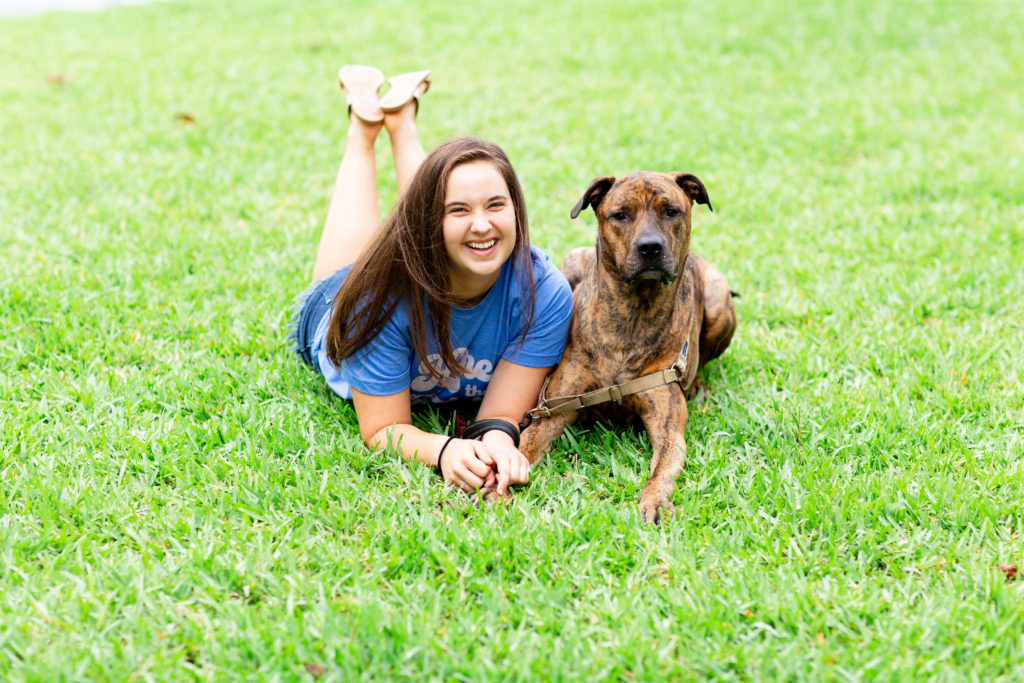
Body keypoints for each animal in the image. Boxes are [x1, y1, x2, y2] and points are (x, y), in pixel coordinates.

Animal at [520, 171, 737, 524]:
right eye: (620, 214)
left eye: (671, 211)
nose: (650, 247)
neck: (633, 312)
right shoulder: (552, 410)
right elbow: (522, 446)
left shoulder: (667, 423)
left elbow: (661, 469)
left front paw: (655, 500)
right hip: (571, 263)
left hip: (719, 299)